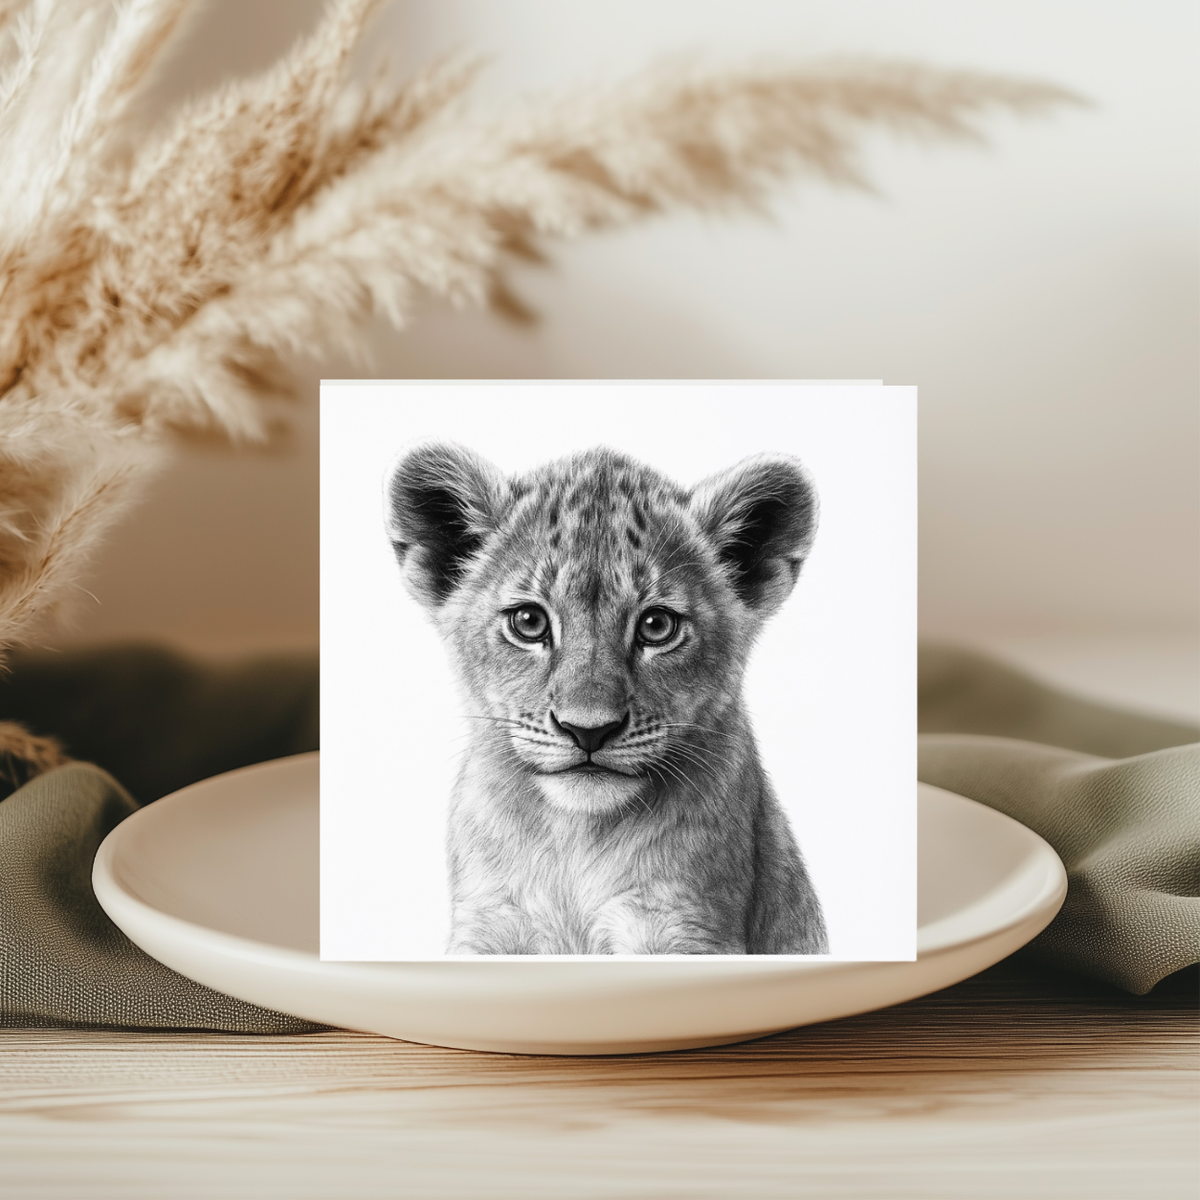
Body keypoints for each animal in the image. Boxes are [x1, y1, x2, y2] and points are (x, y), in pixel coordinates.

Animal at [385, 443, 828, 955]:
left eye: (657, 625)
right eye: (528, 622)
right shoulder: (489, 922)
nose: (588, 730)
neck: (576, 839)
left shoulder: (683, 927)